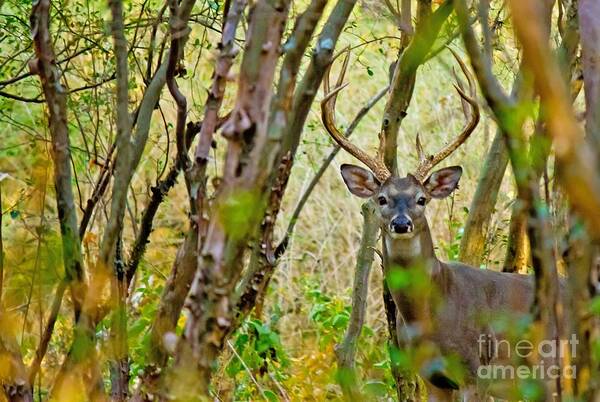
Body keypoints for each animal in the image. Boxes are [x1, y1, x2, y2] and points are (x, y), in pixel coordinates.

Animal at [322, 51, 564, 400]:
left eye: (421, 199)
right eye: (381, 199)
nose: (401, 223)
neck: (430, 315)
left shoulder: (474, 373)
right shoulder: (431, 378)